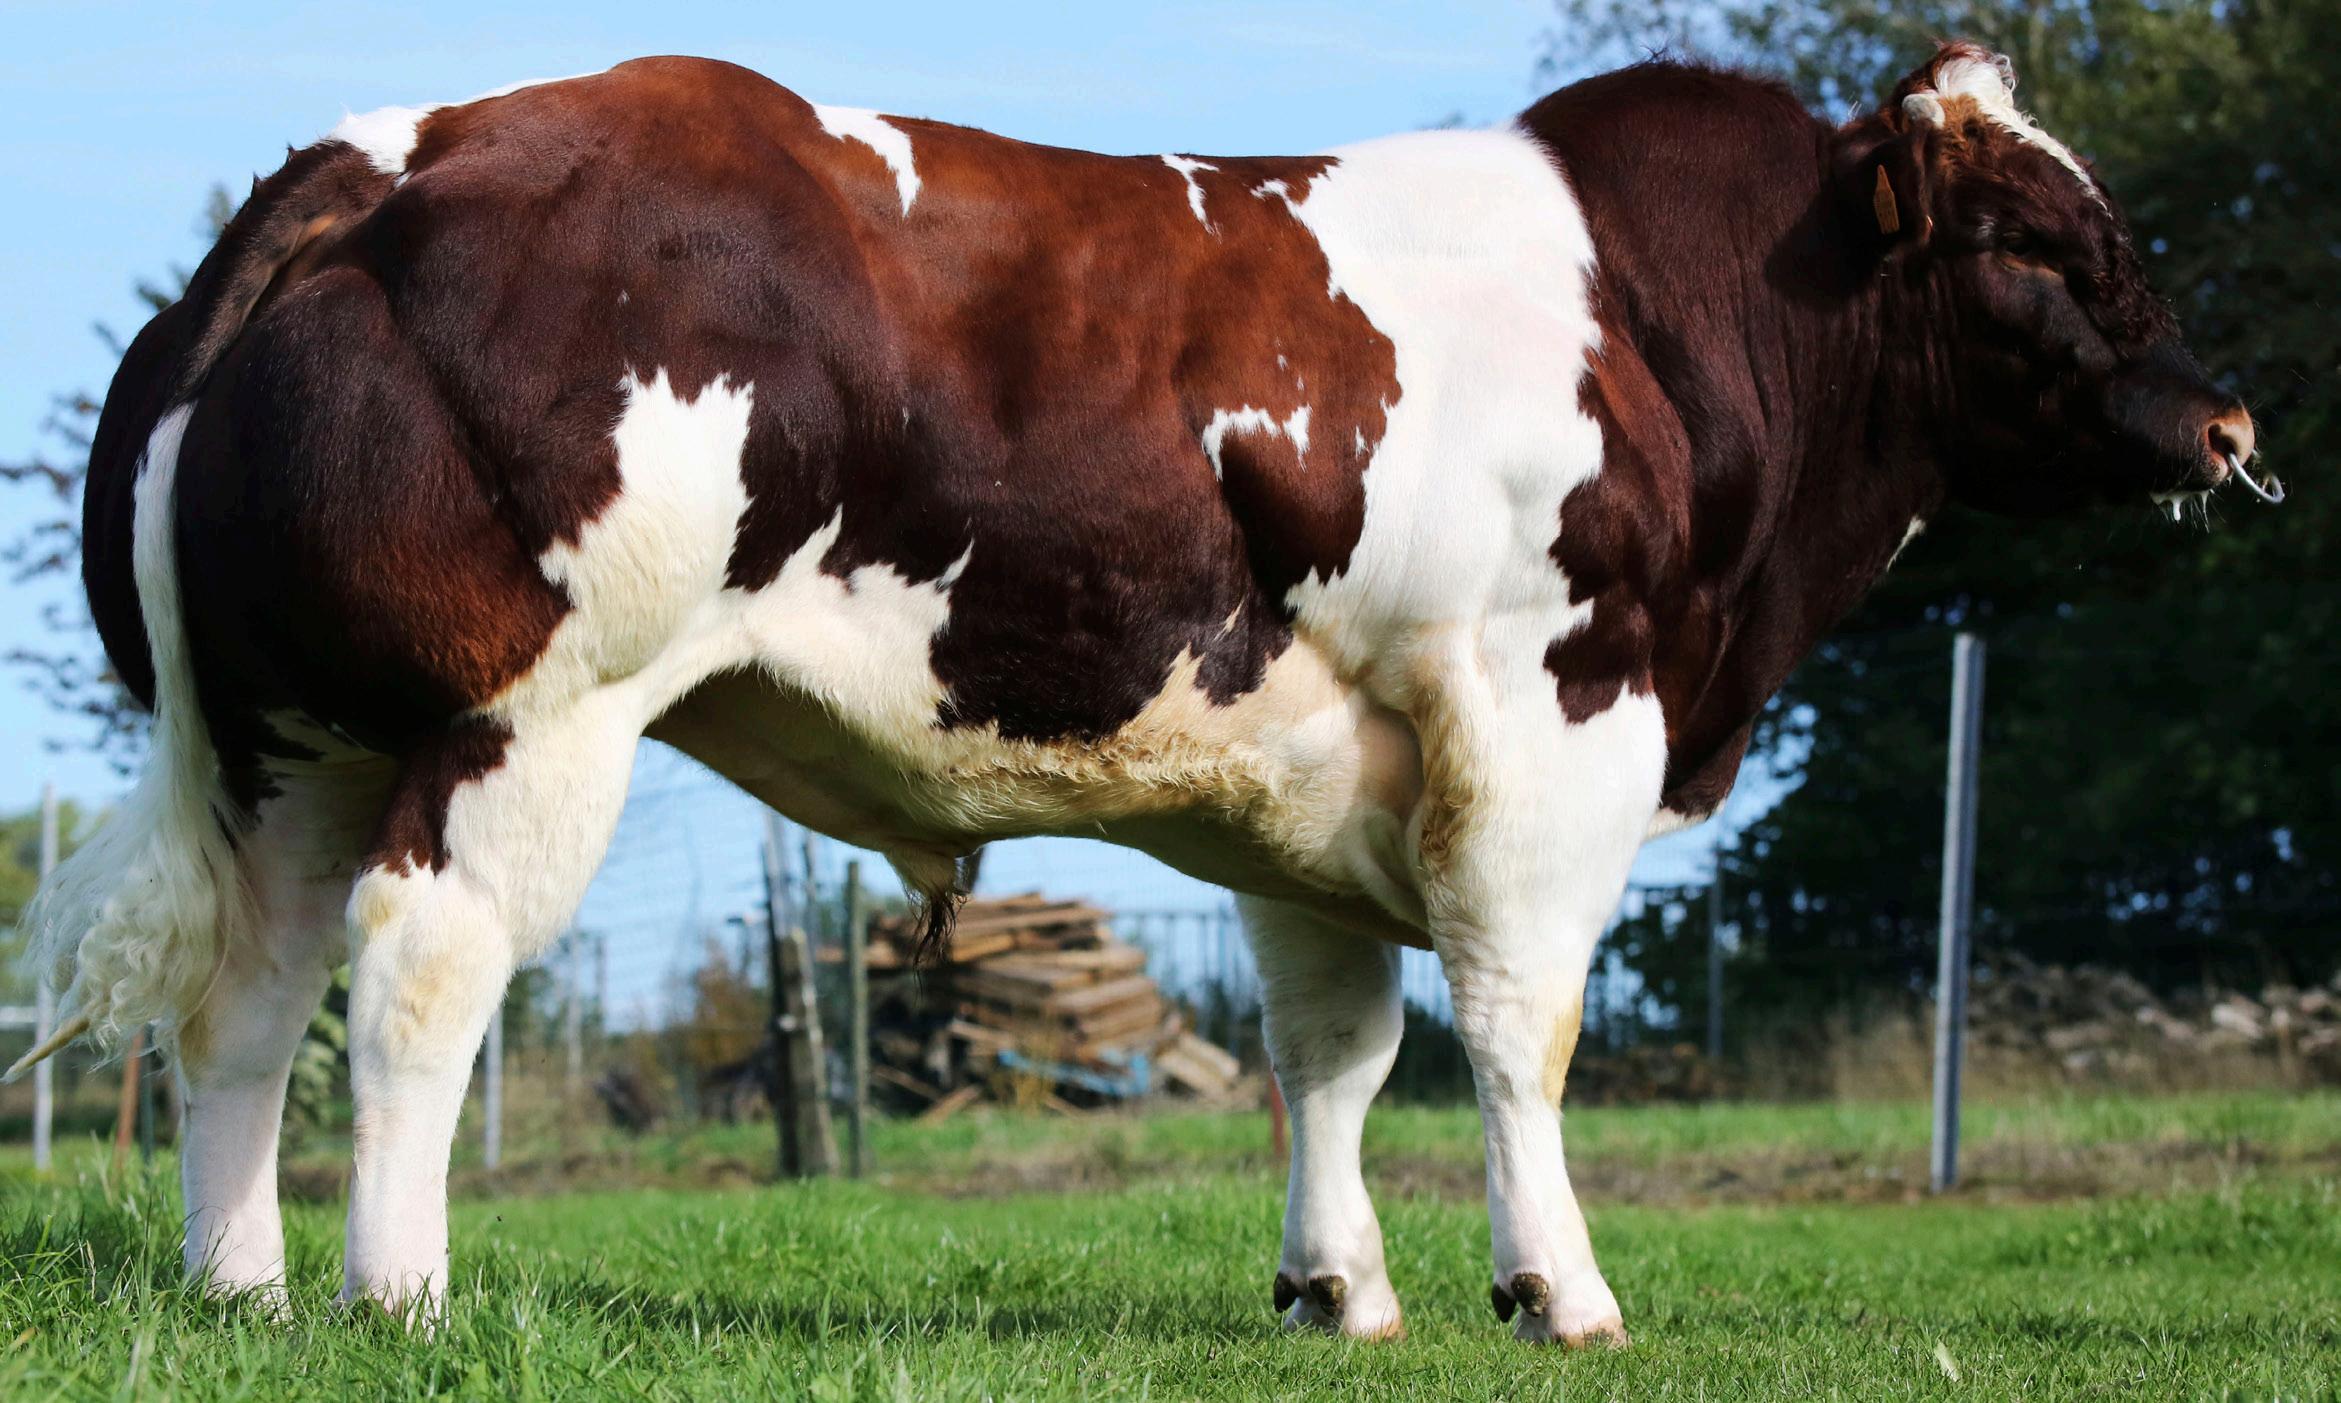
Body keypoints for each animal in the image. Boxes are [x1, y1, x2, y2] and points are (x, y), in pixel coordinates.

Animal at [10, 41, 2267, 1344]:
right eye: (2038, 243)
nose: (2230, 418)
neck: (1659, 324)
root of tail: (398, 150)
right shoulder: (1550, 720)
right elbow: (1520, 1030)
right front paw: (1558, 1286)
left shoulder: (1312, 777)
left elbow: (1334, 1045)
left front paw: (1337, 1286)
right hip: (523, 715)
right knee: (416, 974)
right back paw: (394, 1292)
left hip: (300, 739)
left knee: (250, 996)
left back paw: (244, 1284)